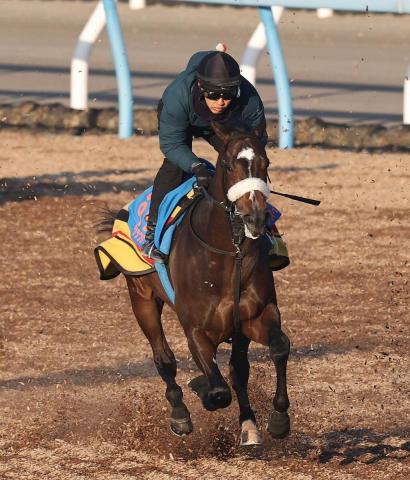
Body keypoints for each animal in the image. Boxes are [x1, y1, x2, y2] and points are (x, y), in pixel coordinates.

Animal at [105, 121, 292, 446]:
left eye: (266, 163)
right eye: (229, 165)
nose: (256, 218)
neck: (229, 254)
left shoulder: (256, 316)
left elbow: (279, 347)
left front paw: (279, 419)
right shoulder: (196, 329)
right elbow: (218, 392)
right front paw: (201, 387)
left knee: (238, 369)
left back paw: (248, 425)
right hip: (141, 297)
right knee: (164, 358)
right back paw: (180, 414)